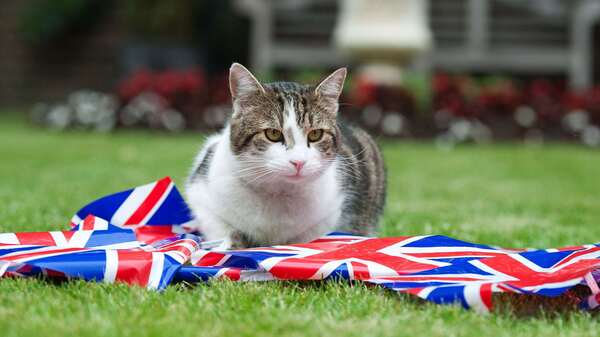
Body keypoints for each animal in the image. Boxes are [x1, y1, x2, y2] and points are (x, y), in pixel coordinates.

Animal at [185, 62, 386, 247]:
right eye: (273, 133)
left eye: (316, 134)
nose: (298, 162)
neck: (279, 193)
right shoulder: (201, 194)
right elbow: (222, 231)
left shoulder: (329, 215)